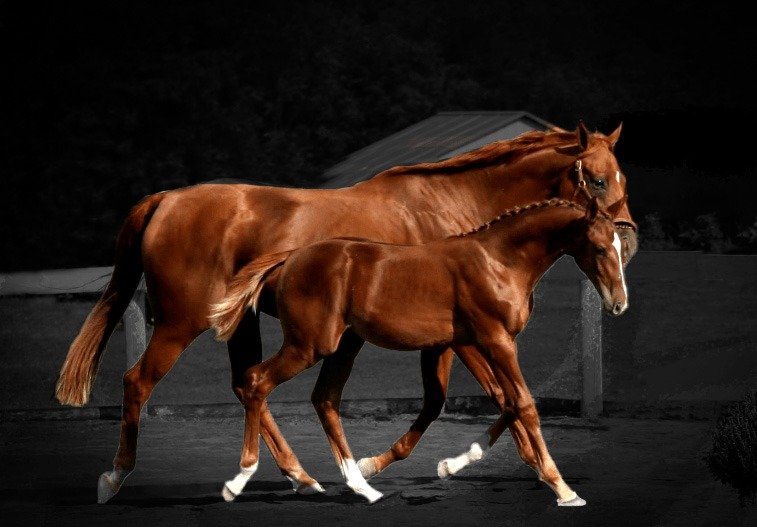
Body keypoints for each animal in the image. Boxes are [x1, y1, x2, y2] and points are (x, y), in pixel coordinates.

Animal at [209, 197, 628, 505]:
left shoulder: (452, 345)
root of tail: (292, 256)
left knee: (324, 399)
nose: (619, 304)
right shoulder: (494, 339)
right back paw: (243, 480)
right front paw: (563, 488)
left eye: (621, 247)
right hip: (309, 344)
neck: (499, 261)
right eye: (599, 248)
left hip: (344, 346)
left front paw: (451, 464)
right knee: (256, 382)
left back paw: (362, 485)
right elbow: (522, 403)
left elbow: (499, 400)